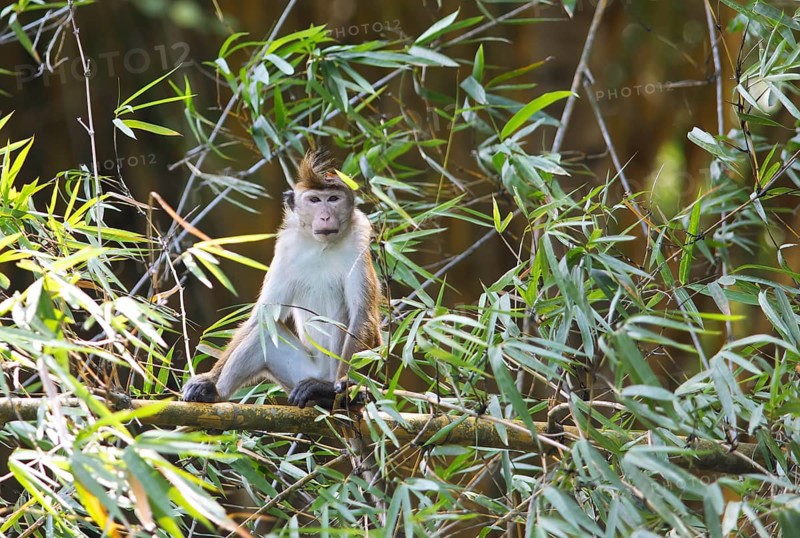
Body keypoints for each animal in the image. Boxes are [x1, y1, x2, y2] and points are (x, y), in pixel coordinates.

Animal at [182, 150, 381, 408]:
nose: (325, 217)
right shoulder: (286, 248)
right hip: (301, 372)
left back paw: (332, 391)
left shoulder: (359, 240)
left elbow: (362, 315)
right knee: (265, 332)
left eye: (333, 199)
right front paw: (208, 379)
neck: (321, 246)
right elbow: (262, 317)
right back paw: (215, 392)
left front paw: (344, 385)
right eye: (315, 200)